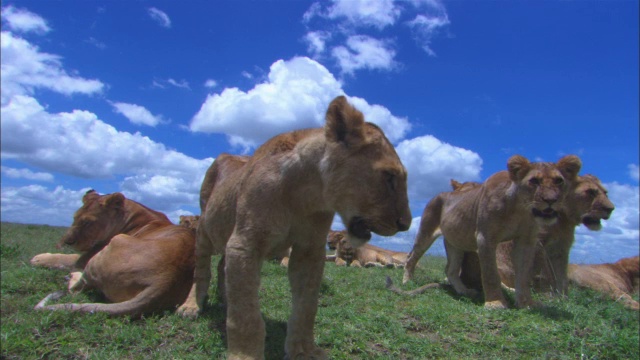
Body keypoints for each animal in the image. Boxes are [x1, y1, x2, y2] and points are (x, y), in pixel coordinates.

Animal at [30, 190, 195, 316]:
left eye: (87, 222)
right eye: (74, 218)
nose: (68, 242)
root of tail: (165, 280)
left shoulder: (86, 257)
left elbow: (66, 258)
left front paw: (38, 259)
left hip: (112, 245)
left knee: (76, 289)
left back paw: (70, 277)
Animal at [175, 95, 410, 358]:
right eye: (389, 176)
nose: (406, 224)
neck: (306, 194)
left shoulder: (309, 250)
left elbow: (307, 305)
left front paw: (304, 350)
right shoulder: (246, 244)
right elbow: (246, 315)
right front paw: (246, 354)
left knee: (222, 267)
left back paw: (225, 299)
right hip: (204, 226)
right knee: (202, 268)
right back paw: (191, 306)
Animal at [402, 155, 584, 310]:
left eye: (559, 181)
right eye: (534, 181)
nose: (551, 200)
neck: (520, 209)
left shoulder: (526, 241)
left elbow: (524, 275)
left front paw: (526, 303)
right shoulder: (485, 238)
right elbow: (490, 274)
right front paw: (496, 303)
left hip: (456, 243)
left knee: (450, 269)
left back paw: (464, 291)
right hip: (425, 232)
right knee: (411, 257)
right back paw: (407, 281)